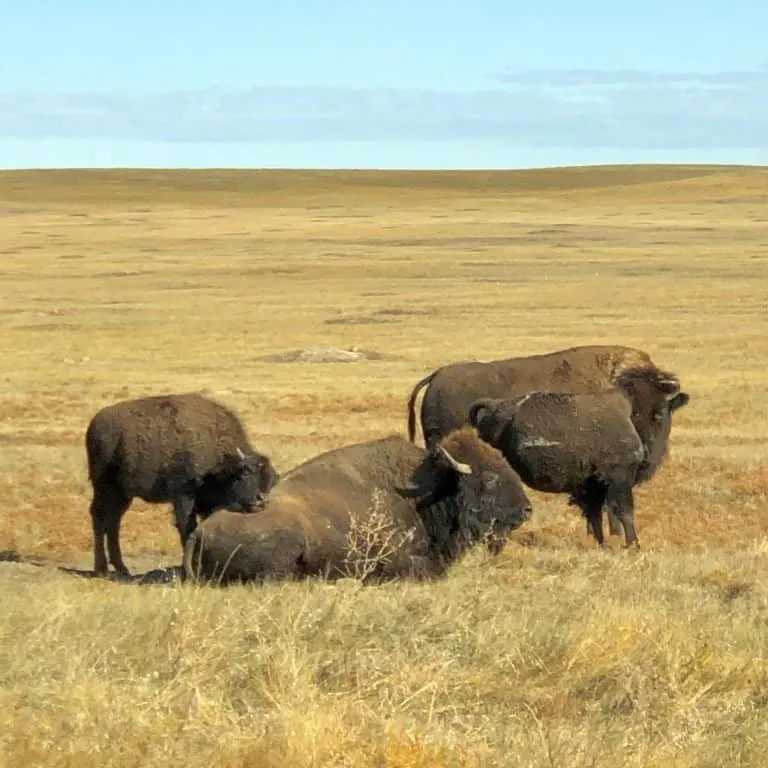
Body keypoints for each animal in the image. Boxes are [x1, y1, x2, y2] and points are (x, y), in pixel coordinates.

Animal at [85, 396, 278, 576]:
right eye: (245, 473)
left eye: (270, 481)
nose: (261, 501)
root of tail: (94, 423)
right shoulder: (184, 497)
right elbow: (187, 528)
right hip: (104, 487)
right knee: (99, 517)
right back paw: (101, 568)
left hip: (123, 494)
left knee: (113, 520)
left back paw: (121, 568)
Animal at [468, 368, 688, 548]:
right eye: (649, 412)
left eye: (662, 410)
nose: (649, 448)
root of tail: (494, 407)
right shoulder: (618, 479)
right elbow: (624, 512)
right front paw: (633, 545)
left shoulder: (595, 484)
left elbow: (596, 514)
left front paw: (602, 543)